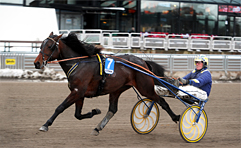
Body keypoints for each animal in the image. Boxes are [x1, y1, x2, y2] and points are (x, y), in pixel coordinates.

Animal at [33, 32, 179, 135]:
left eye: (50, 46)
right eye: (40, 46)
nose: (37, 63)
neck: (79, 63)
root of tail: (143, 63)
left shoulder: (77, 92)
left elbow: (60, 107)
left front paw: (45, 125)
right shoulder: (79, 93)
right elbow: (78, 115)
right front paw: (95, 111)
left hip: (145, 88)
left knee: (162, 101)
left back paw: (177, 117)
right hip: (117, 89)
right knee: (112, 109)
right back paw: (98, 128)